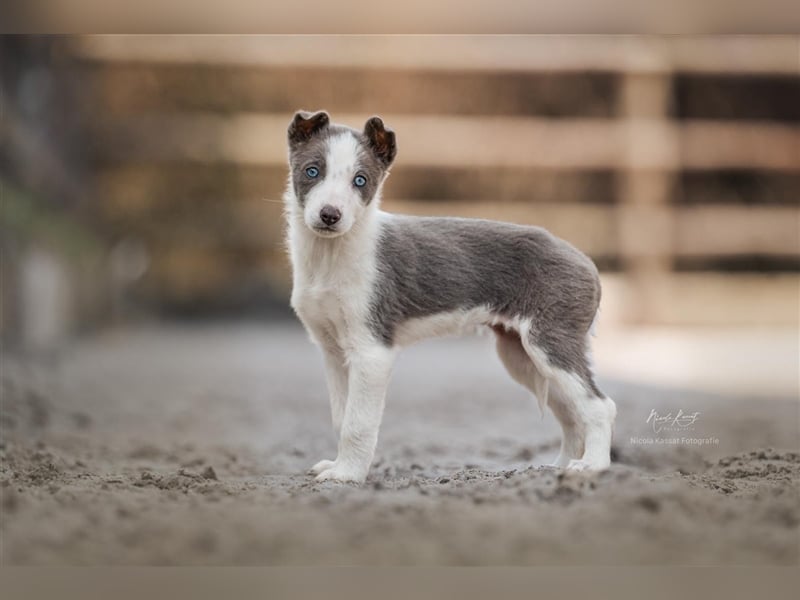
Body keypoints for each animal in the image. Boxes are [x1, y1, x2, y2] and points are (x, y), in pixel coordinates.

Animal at [284, 109, 616, 482]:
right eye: (312, 171)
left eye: (360, 180)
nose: (330, 215)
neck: (329, 257)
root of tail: (587, 263)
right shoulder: (333, 351)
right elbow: (342, 418)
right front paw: (338, 465)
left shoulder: (371, 350)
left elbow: (358, 423)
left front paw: (348, 475)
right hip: (524, 357)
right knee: (572, 413)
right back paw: (558, 467)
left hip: (550, 344)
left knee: (599, 406)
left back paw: (592, 466)